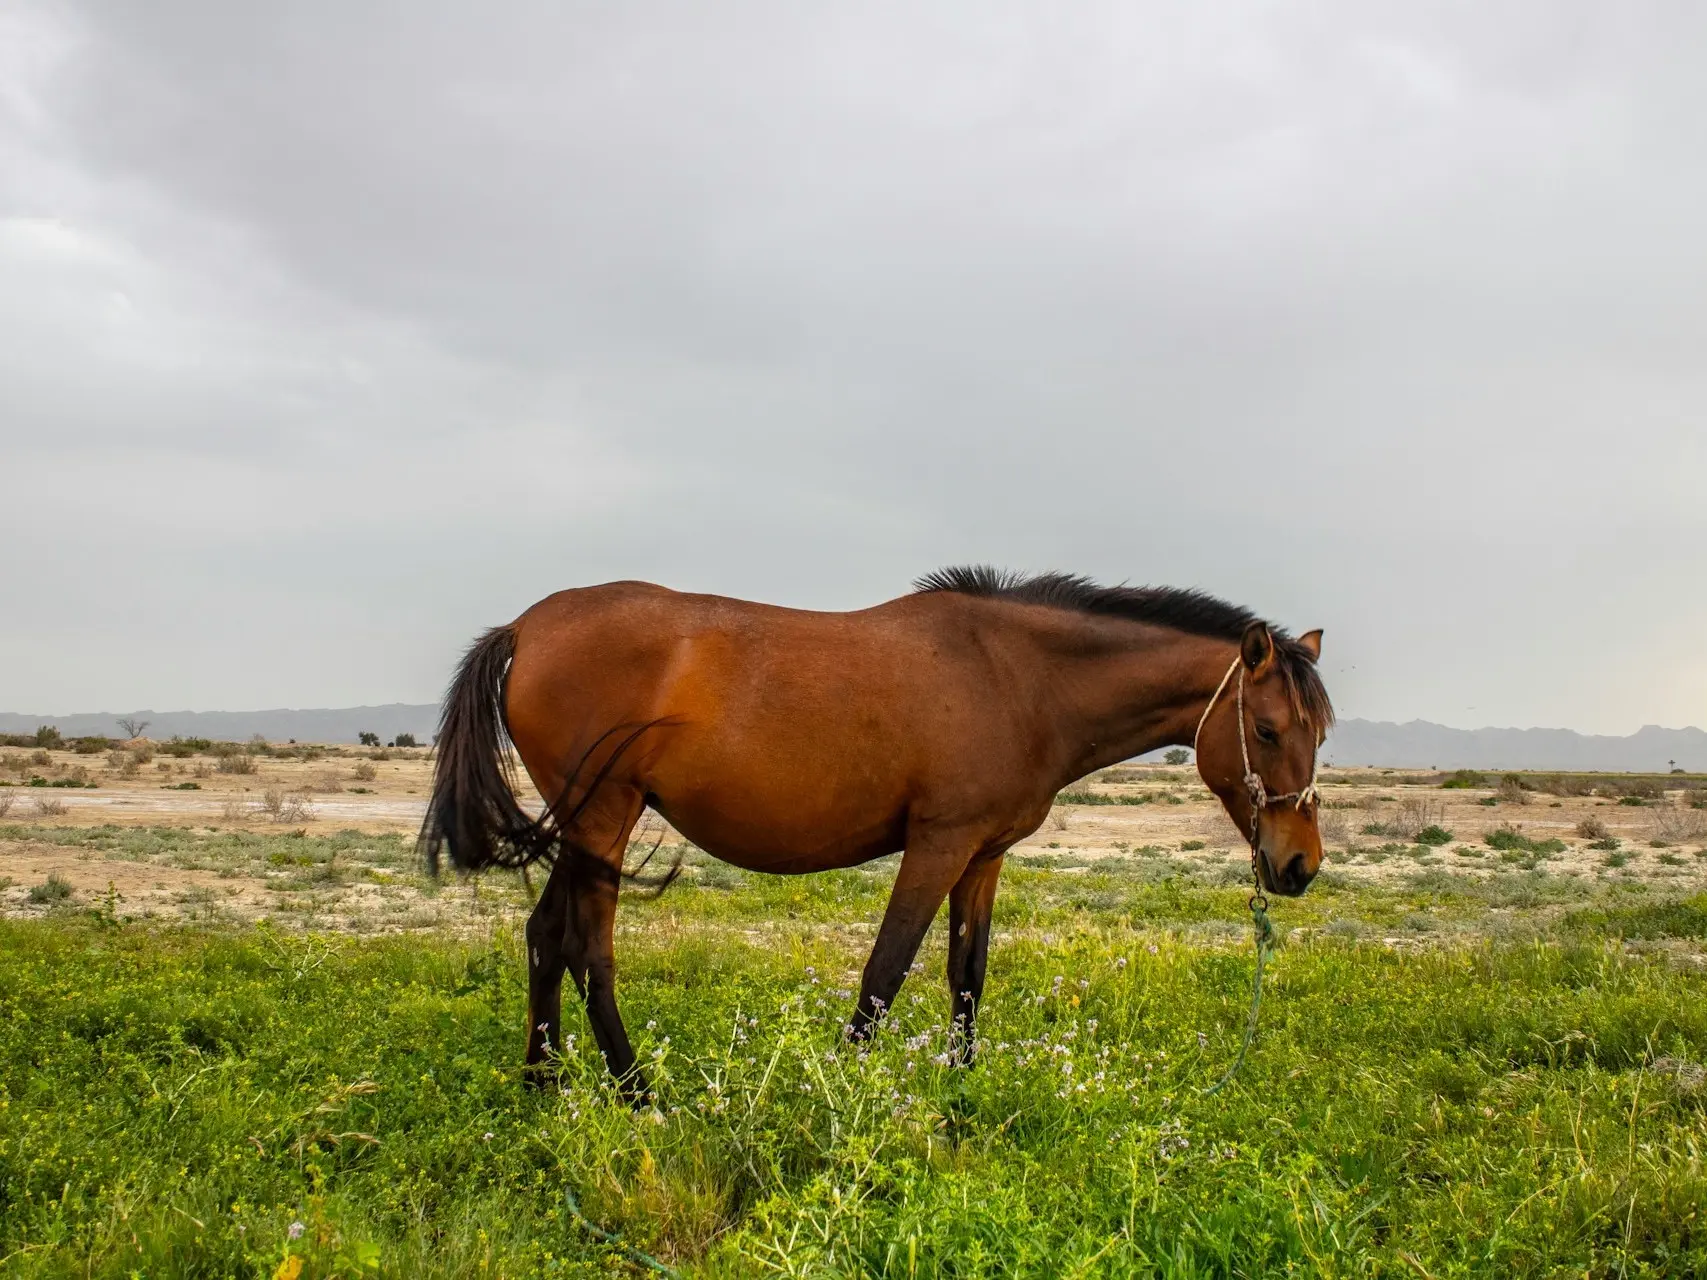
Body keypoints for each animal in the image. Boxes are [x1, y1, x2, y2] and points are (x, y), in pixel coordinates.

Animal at [419, 566, 1324, 1099]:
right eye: (1268, 729)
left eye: (1320, 729)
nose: (1299, 866)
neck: (1017, 678)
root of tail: (525, 627)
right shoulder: (936, 846)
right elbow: (884, 975)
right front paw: (843, 1097)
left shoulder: (982, 857)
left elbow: (967, 977)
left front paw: (960, 1098)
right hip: (604, 819)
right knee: (588, 950)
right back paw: (639, 1092)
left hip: (584, 830)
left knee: (544, 936)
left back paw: (541, 1083)